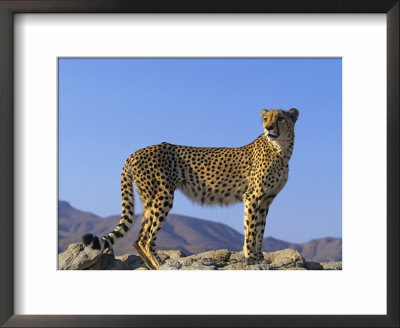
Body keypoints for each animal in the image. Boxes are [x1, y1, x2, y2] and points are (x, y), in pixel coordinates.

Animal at [83, 107, 296, 270]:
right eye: (265, 118)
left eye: (281, 118)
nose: (268, 128)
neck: (281, 150)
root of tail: (135, 152)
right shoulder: (253, 196)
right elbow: (251, 228)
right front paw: (251, 257)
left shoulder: (266, 199)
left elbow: (260, 228)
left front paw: (259, 256)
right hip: (162, 196)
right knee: (146, 239)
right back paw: (160, 265)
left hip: (149, 199)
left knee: (138, 238)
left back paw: (152, 267)